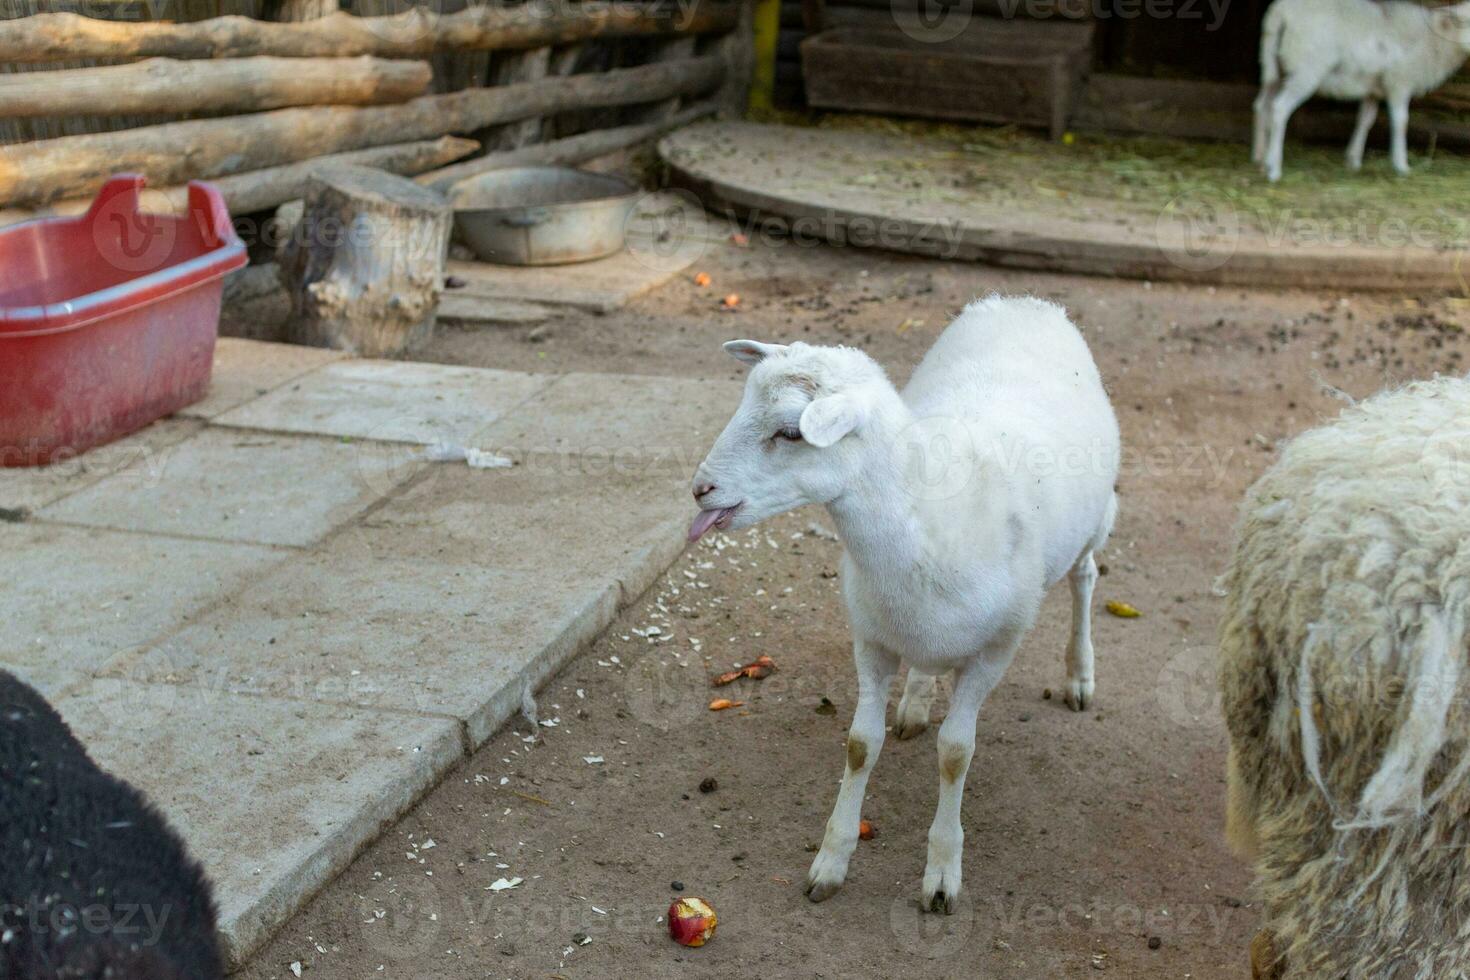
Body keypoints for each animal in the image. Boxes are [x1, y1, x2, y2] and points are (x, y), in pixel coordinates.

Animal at [685, 293, 1111, 910]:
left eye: (791, 433)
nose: (700, 489)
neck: (928, 518)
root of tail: (1020, 301)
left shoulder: (996, 650)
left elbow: (956, 752)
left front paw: (942, 870)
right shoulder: (872, 637)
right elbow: (861, 744)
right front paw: (832, 859)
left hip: (1094, 525)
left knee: (1085, 577)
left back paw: (1079, 674)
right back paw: (915, 700)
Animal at [1252, 0, 1470, 182]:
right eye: (1466, 21)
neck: (1434, 40)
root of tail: (1280, 12)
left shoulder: (1373, 88)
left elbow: (1366, 120)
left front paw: (1353, 160)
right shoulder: (1399, 82)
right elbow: (1401, 122)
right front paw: (1401, 165)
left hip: (1274, 66)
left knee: (1262, 105)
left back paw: (1259, 158)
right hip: (1306, 69)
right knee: (1279, 108)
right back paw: (1273, 168)